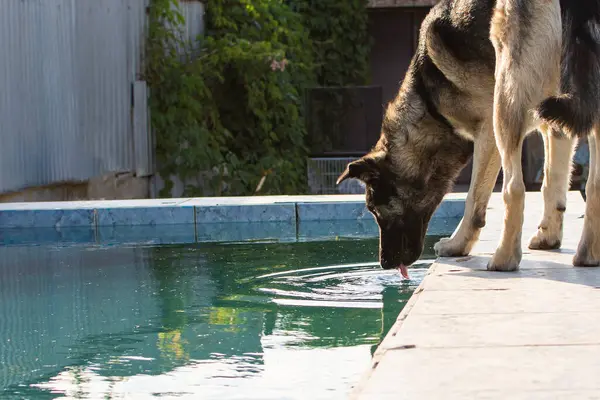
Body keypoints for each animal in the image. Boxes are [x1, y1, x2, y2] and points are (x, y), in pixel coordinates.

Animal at [338, 0, 600, 272]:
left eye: (374, 209)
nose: (384, 263)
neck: (430, 106)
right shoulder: (557, 125)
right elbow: (552, 183)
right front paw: (549, 237)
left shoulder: (488, 131)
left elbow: (474, 198)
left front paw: (458, 244)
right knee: (594, 184)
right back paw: (588, 255)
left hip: (505, 101)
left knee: (514, 188)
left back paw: (504, 259)